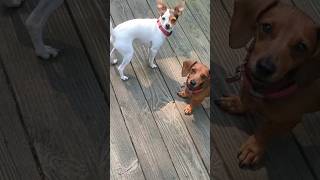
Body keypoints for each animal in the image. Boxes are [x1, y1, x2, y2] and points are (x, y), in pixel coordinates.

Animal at [215, 0, 320, 168]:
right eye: (267, 27)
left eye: (301, 46)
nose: (265, 68)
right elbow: (245, 100)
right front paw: (236, 103)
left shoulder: (290, 120)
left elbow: (265, 131)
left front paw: (253, 148)